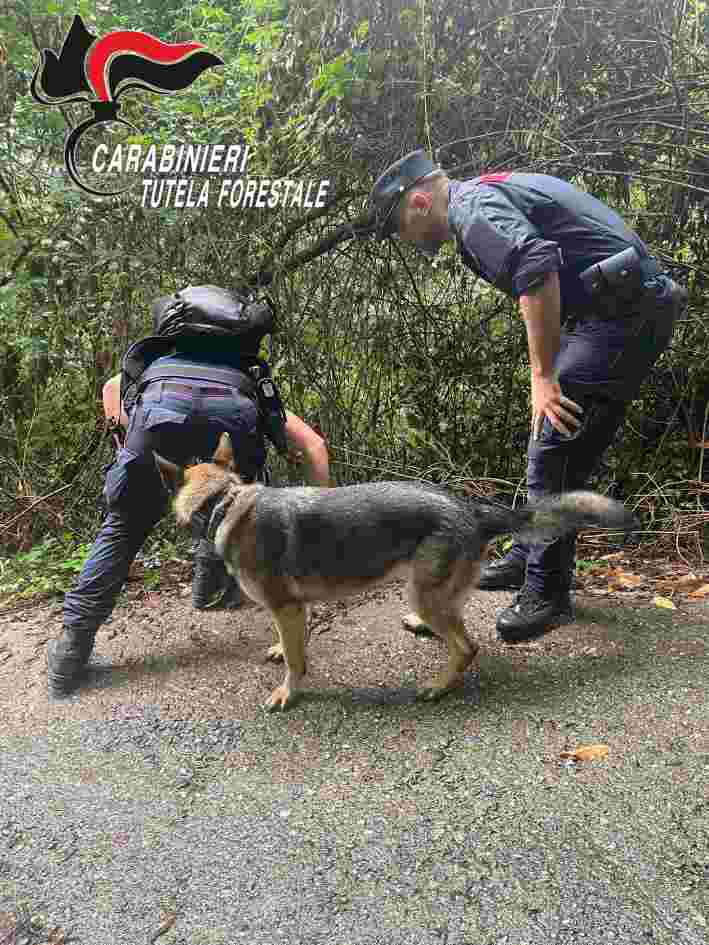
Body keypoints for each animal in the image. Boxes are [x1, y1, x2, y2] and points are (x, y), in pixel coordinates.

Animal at [158, 436, 640, 708]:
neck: (224, 501)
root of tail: (472, 509)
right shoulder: (293, 610)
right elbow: (293, 644)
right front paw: (281, 650)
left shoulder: (287, 606)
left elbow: (297, 661)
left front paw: (287, 692)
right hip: (432, 591)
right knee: (455, 621)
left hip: (423, 594)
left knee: (467, 647)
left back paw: (438, 687)